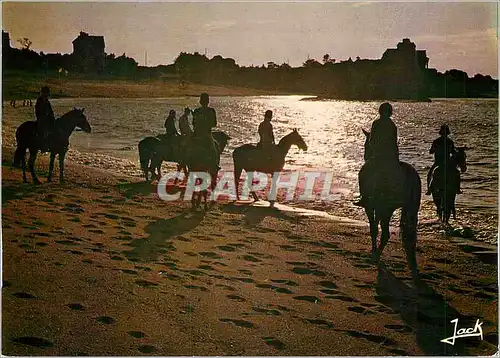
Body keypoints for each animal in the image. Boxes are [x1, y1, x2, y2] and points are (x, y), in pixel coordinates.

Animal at [360, 129, 422, 280]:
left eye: (366, 144)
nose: (365, 156)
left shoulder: (372, 207)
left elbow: (373, 227)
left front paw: (373, 249)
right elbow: (375, 226)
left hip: (387, 209)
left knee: (386, 234)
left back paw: (376, 256)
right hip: (410, 209)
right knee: (410, 236)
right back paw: (413, 266)